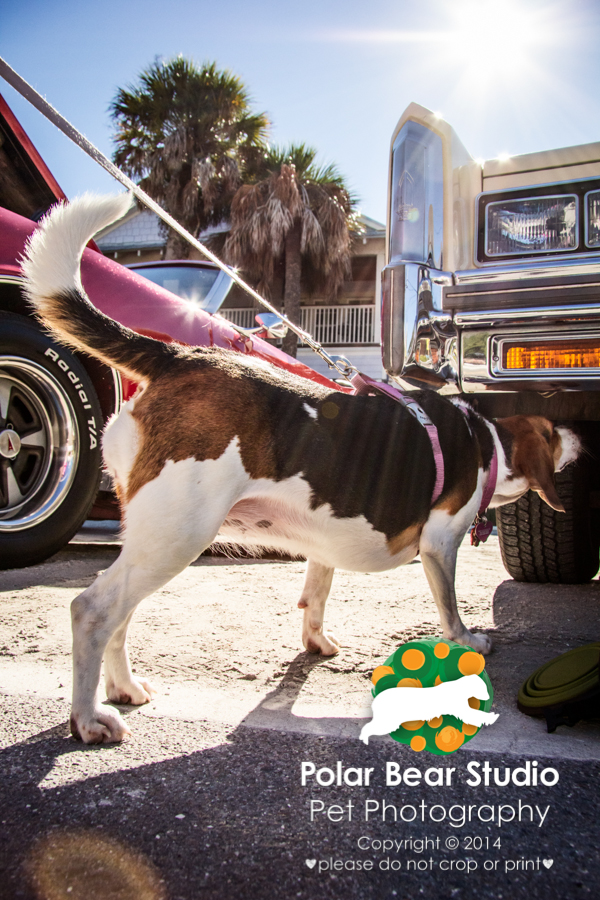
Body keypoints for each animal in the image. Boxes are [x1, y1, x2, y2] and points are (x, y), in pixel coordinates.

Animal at [21, 197, 580, 744]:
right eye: (553, 434)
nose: (579, 435)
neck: (485, 440)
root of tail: (179, 355)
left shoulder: (323, 541)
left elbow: (317, 593)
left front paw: (316, 640)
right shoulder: (440, 544)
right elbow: (449, 603)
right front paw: (467, 639)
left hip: (151, 539)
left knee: (120, 614)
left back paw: (124, 688)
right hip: (178, 534)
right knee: (92, 611)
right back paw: (88, 718)